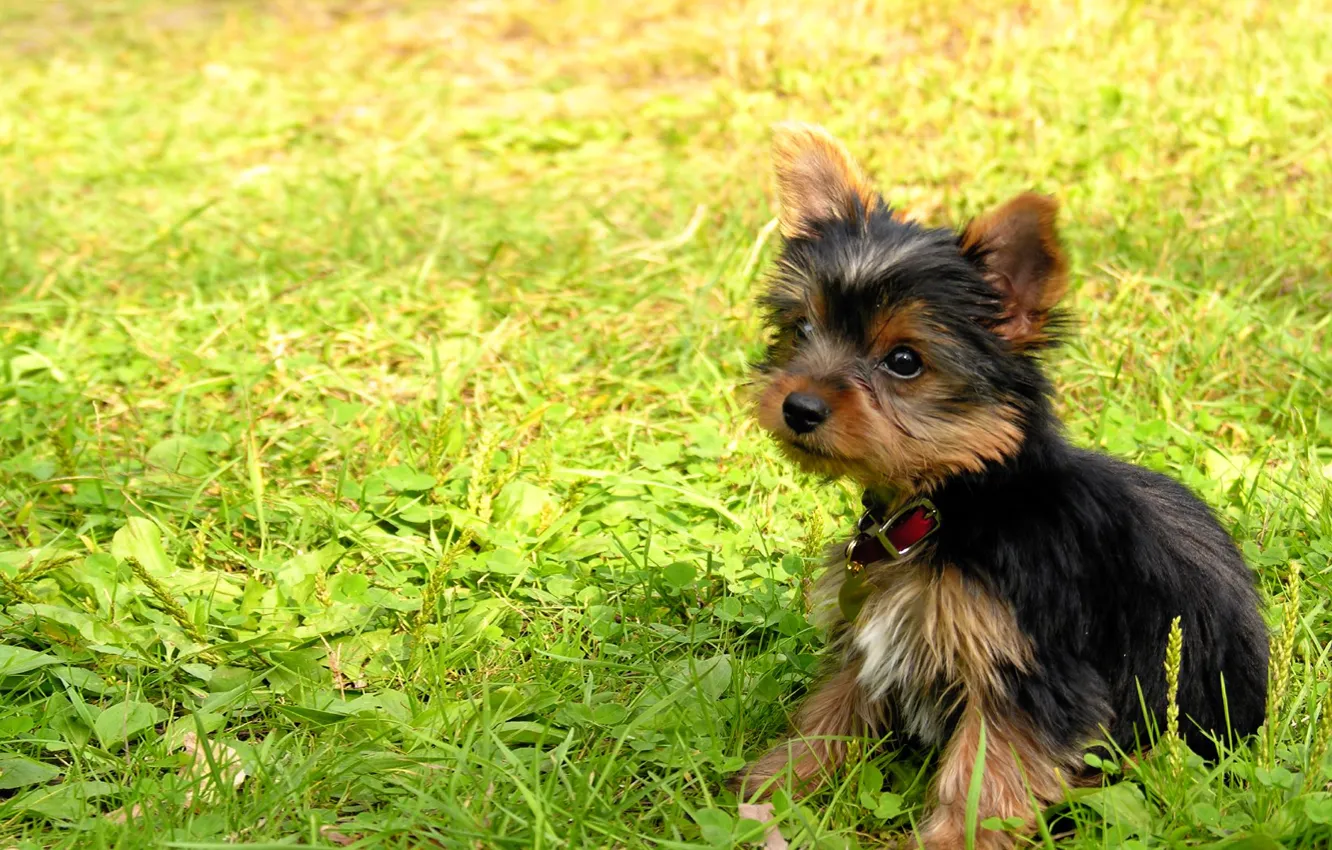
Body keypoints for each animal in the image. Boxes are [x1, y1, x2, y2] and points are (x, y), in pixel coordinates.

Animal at [740, 123, 1268, 847]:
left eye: (903, 362)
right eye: (803, 328)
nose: (799, 407)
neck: (953, 503)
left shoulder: (1031, 671)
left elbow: (987, 774)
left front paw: (952, 840)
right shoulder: (872, 640)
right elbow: (831, 710)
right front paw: (773, 786)